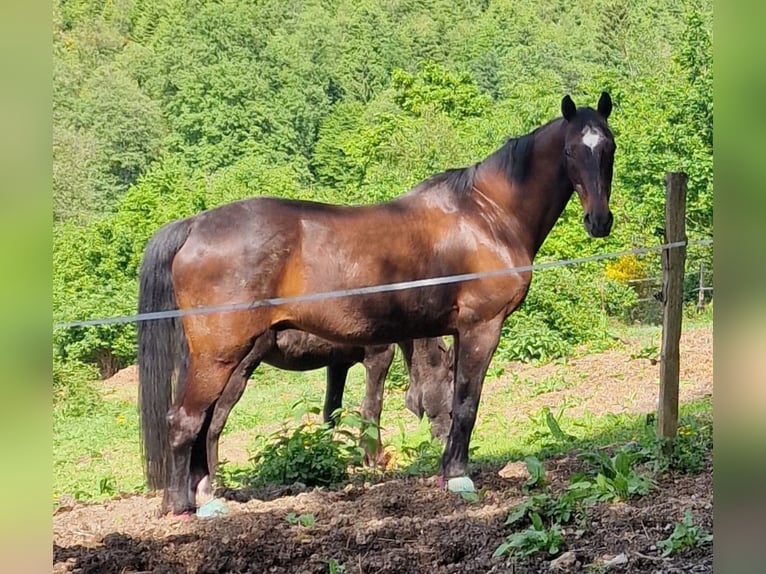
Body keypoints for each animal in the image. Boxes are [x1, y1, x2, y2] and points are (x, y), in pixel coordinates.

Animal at [194, 333, 453, 502]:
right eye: (451, 406)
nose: (444, 443)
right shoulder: (379, 356)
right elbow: (372, 407)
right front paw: (374, 459)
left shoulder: (338, 363)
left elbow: (331, 413)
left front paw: (329, 458)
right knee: (214, 424)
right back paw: (214, 483)